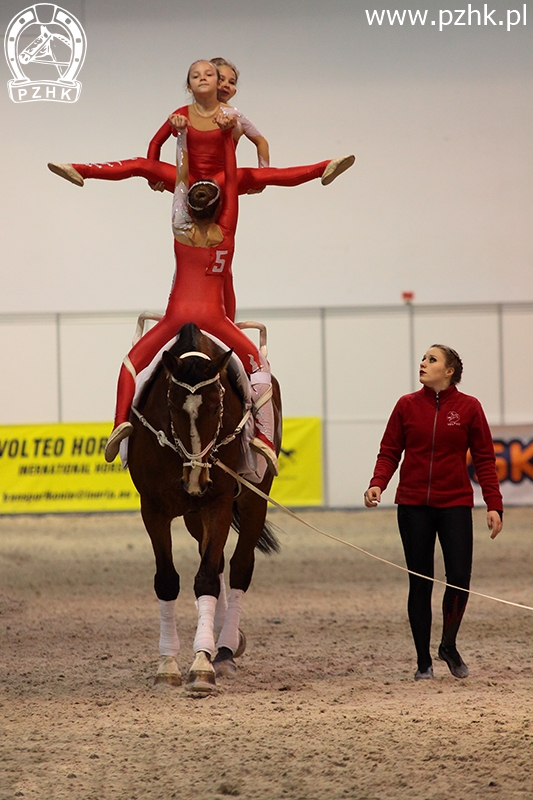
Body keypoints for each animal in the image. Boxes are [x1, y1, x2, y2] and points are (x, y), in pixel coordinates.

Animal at [126, 322, 280, 692]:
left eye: (216, 407)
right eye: (171, 406)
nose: (196, 478)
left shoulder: (218, 504)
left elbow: (206, 579)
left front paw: (202, 664)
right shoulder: (153, 509)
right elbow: (168, 580)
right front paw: (168, 664)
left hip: (253, 500)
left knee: (239, 567)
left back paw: (223, 650)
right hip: (193, 517)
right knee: (218, 559)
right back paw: (222, 639)